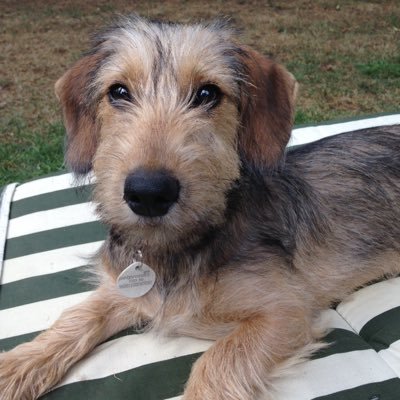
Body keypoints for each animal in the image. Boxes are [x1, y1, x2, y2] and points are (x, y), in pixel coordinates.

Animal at [0, 14, 400, 398]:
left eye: (208, 93)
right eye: (118, 92)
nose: (149, 193)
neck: (177, 250)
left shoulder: (285, 311)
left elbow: (217, 360)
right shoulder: (124, 290)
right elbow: (79, 315)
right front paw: (15, 367)